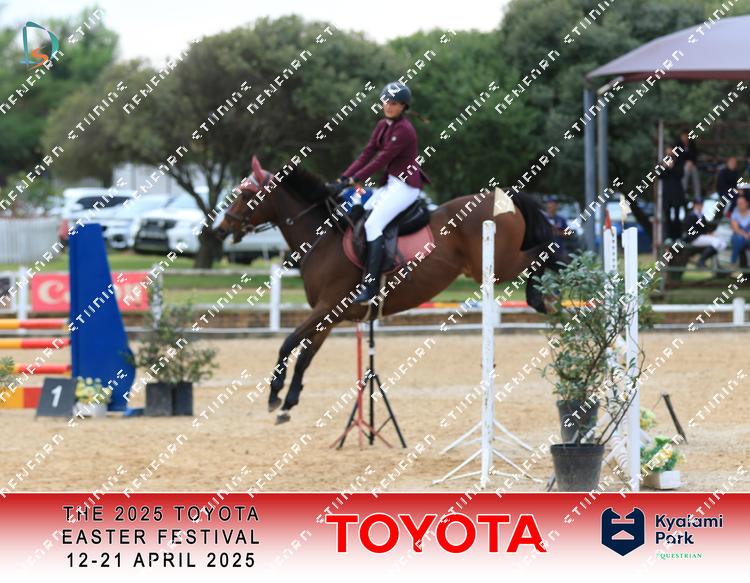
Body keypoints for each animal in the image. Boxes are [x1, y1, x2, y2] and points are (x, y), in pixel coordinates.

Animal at [215, 156, 567, 423]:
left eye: (246, 195)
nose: (221, 228)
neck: (323, 238)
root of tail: (504, 197)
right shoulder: (327, 317)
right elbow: (305, 356)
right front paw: (288, 402)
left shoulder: (327, 307)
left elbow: (287, 343)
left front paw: (275, 393)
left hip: (501, 264)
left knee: (546, 250)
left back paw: (547, 296)